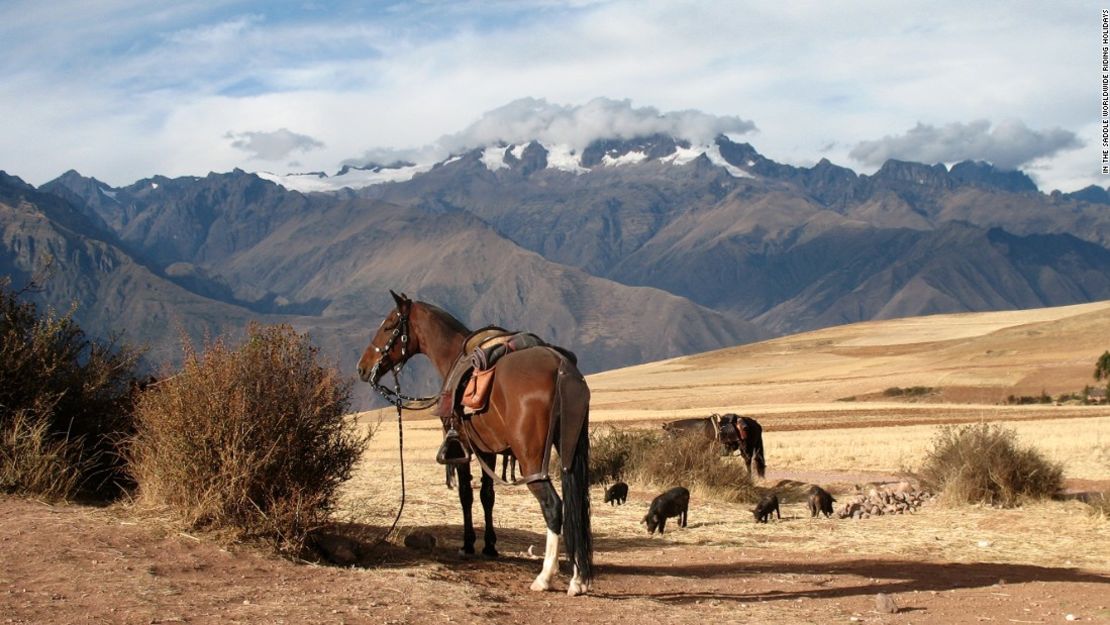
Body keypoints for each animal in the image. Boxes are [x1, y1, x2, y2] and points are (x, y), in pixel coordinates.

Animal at [359, 293, 594, 595]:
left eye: (388, 326)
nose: (363, 367)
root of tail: (561, 368)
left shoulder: (463, 450)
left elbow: (466, 495)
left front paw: (469, 544)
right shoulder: (487, 450)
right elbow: (487, 496)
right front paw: (490, 546)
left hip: (532, 462)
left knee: (554, 507)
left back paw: (544, 577)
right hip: (570, 452)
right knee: (577, 509)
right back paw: (578, 579)